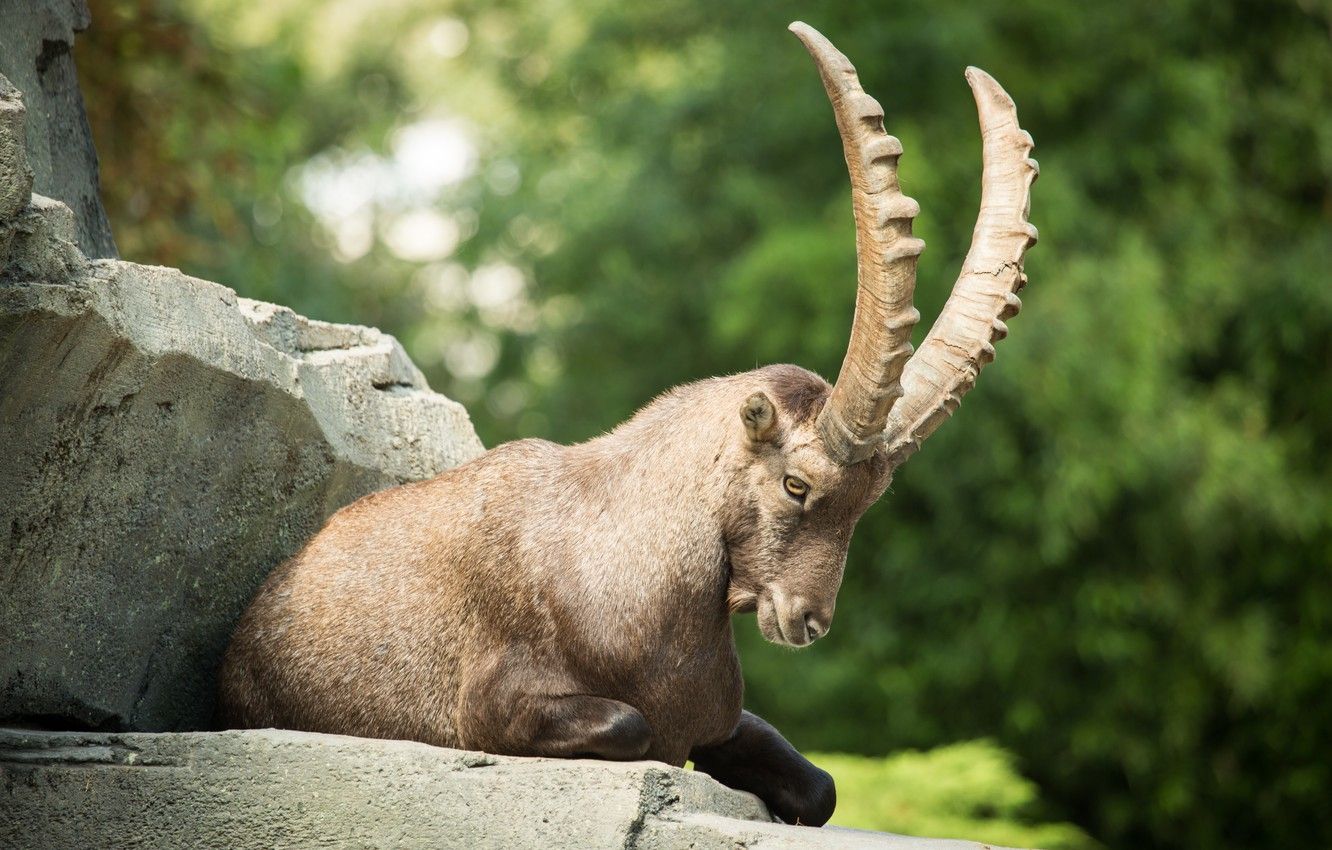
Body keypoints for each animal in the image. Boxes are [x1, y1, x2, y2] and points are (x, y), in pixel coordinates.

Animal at [218, 22, 1038, 827]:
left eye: (871, 501)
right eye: (797, 485)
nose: (807, 619)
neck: (629, 561)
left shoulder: (718, 717)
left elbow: (821, 787)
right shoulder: (490, 705)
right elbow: (632, 725)